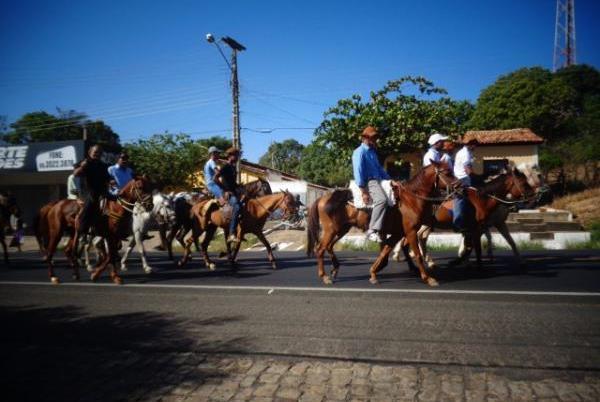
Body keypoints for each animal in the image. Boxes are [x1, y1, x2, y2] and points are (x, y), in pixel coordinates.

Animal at [308, 160, 458, 286]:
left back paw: (335, 269)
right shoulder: (410, 231)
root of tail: (322, 198)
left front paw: (374, 273)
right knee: (320, 249)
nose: (460, 186)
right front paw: (428, 278)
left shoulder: (398, 233)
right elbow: (417, 255)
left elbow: (385, 252)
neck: (410, 200)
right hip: (331, 229)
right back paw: (324, 276)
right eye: (447, 173)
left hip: (342, 229)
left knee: (329, 246)